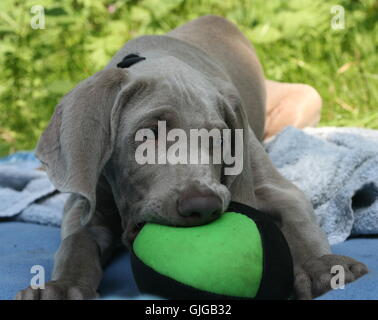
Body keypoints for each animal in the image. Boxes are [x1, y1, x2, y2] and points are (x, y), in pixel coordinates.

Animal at [16, 14, 368, 300]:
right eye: (148, 134)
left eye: (219, 139)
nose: (202, 205)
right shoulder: (86, 201)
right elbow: (76, 243)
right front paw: (61, 287)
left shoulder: (277, 188)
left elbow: (299, 221)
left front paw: (321, 267)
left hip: (307, 97)